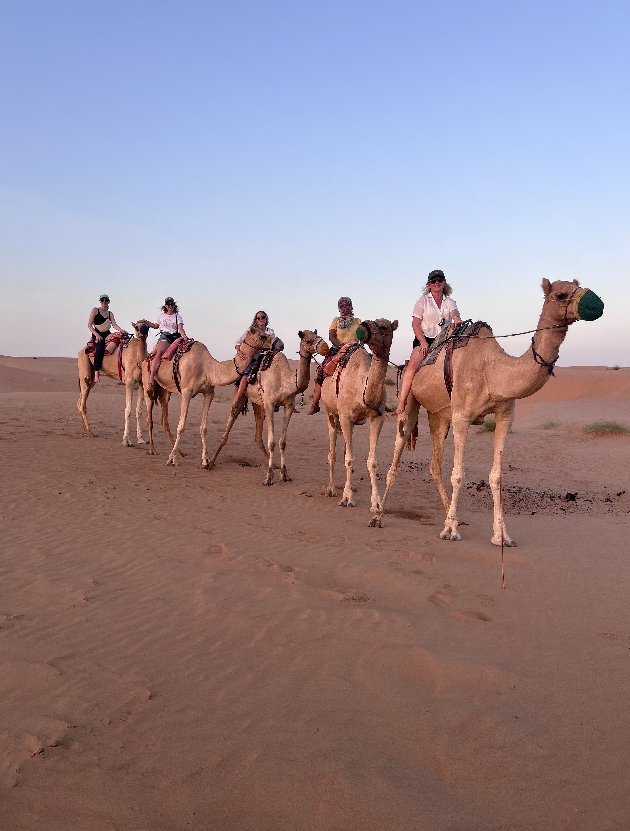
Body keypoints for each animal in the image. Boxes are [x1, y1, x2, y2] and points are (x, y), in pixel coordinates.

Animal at [142, 326, 275, 467]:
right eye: (263, 336)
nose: (280, 344)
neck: (207, 367)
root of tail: (147, 357)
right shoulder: (186, 391)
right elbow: (181, 427)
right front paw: (169, 460)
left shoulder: (209, 393)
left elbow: (203, 428)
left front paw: (205, 460)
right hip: (148, 383)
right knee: (149, 417)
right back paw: (153, 450)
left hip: (165, 390)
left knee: (164, 419)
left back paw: (179, 453)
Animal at [208, 330, 329, 484]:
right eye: (308, 341)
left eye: (318, 336)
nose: (325, 347)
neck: (285, 380)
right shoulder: (270, 404)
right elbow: (271, 442)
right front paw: (269, 477)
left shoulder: (288, 406)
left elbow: (282, 442)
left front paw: (284, 474)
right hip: (242, 394)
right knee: (232, 418)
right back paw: (210, 463)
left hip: (258, 404)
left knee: (258, 434)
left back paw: (274, 465)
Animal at [320, 318, 398, 512]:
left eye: (384, 326)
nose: (364, 326)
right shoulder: (345, 416)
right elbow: (349, 459)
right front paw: (347, 498)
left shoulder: (377, 418)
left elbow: (372, 461)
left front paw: (376, 503)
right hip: (330, 412)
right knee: (332, 452)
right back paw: (331, 489)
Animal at [369, 279, 604, 545]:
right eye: (561, 294)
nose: (597, 303)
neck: (493, 370)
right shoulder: (462, 416)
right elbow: (458, 474)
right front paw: (451, 532)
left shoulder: (505, 416)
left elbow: (496, 476)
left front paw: (501, 535)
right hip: (409, 400)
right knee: (396, 457)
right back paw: (379, 516)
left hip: (439, 415)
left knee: (434, 465)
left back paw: (452, 517)